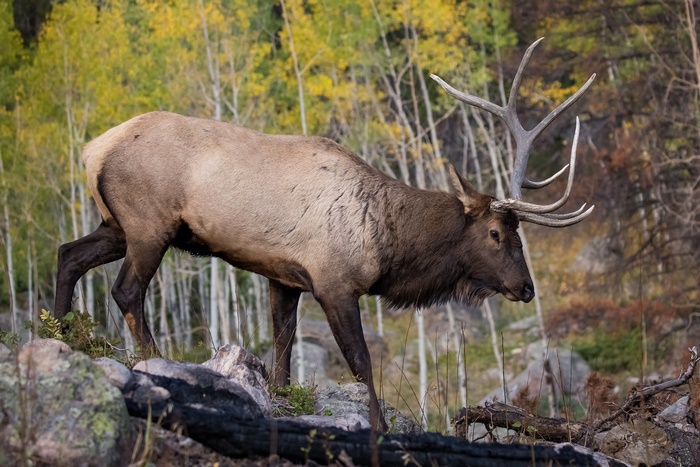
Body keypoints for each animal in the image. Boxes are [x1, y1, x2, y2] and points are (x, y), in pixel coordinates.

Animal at [54, 38, 595, 432]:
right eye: (497, 233)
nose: (526, 287)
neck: (387, 243)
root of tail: (92, 150)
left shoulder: (283, 277)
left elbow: (283, 350)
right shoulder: (335, 282)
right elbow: (360, 364)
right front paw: (380, 427)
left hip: (117, 225)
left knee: (67, 254)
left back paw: (57, 333)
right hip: (149, 225)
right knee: (126, 290)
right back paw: (154, 362)